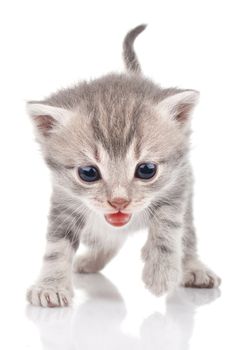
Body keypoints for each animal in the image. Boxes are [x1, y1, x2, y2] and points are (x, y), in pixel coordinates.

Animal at [26, 24, 220, 308]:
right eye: (88, 173)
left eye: (146, 170)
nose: (119, 201)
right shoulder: (64, 201)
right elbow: (57, 245)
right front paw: (50, 284)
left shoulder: (177, 186)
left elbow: (168, 225)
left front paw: (160, 271)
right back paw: (91, 260)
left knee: (187, 234)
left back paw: (192, 267)